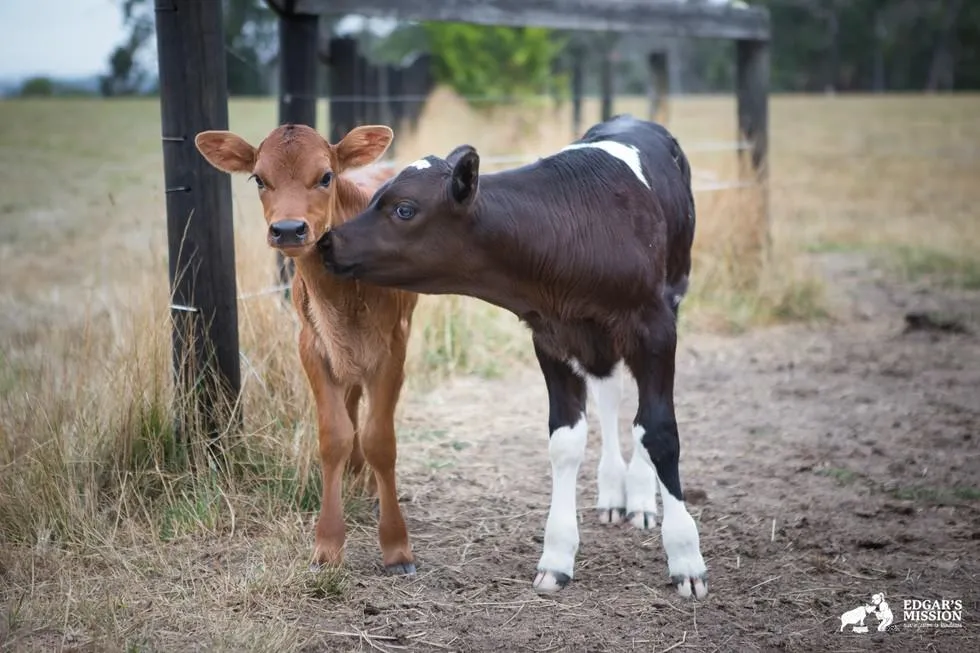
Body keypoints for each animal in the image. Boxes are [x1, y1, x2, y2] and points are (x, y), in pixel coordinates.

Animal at [316, 114, 708, 598]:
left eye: (404, 209)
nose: (326, 243)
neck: (581, 233)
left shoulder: (655, 328)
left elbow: (660, 432)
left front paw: (686, 558)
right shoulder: (551, 336)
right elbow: (565, 440)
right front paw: (557, 556)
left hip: (669, 294)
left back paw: (640, 499)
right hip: (598, 342)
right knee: (610, 394)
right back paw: (614, 492)